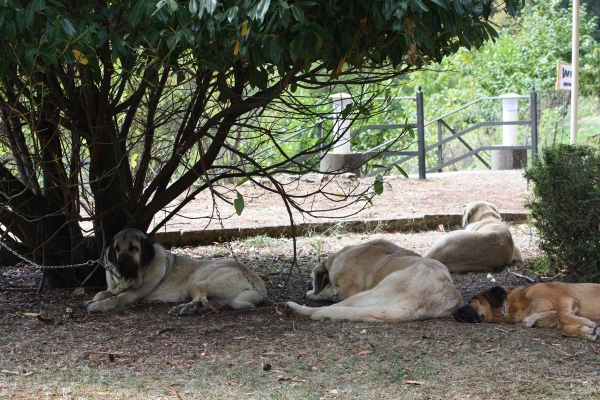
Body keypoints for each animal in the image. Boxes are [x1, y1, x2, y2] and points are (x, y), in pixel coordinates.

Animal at [86, 228, 268, 316]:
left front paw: (99, 305)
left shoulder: (134, 294)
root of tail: (257, 283)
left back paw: (184, 308)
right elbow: (103, 293)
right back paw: (188, 309)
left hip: (198, 281)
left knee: (201, 299)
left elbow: (117, 298)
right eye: (117, 248)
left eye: (133, 248)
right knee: (205, 304)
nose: (119, 263)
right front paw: (95, 299)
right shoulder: (113, 288)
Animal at [284, 239, 462, 324]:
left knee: (325, 309)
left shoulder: (347, 289)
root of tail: (419, 300)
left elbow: (328, 291)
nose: (309, 285)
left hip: (366, 294)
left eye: (311, 278)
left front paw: (313, 293)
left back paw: (294, 307)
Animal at [454, 282, 600, 342]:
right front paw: (587, 331)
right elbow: (564, 327)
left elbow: (562, 316)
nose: (454, 313)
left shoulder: (566, 298)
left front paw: (591, 326)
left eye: (471, 300)